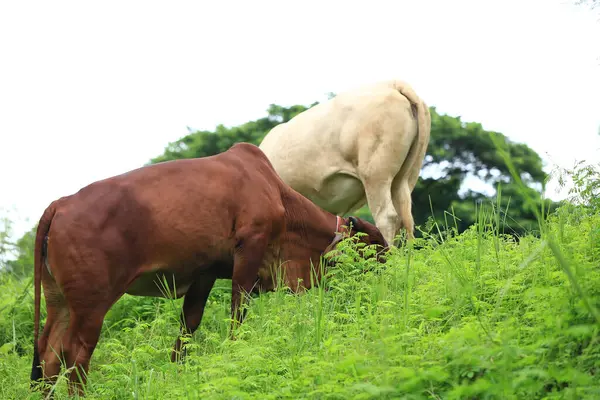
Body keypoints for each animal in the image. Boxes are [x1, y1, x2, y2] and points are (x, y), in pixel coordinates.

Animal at [29, 142, 390, 396]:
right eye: (375, 250)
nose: (391, 279)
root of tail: (60, 204)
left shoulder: (205, 274)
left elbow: (186, 334)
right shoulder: (249, 249)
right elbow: (236, 315)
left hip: (60, 300)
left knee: (48, 353)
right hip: (93, 302)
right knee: (75, 354)